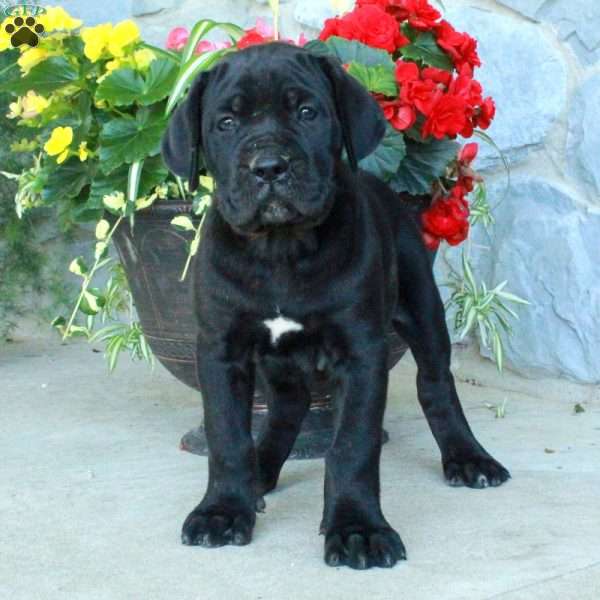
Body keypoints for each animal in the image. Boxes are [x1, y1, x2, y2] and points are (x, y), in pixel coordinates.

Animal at [162, 43, 508, 572]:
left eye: (307, 113)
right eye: (226, 123)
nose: (269, 166)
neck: (281, 249)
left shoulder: (361, 353)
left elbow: (352, 445)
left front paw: (357, 529)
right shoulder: (221, 351)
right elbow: (226, 437)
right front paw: (222, 510)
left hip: (422, 308)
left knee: (436, 384)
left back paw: (469, 458)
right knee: (288, 407)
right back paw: (259, 474)